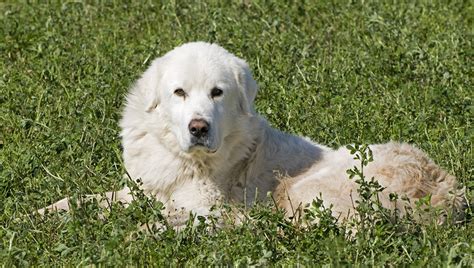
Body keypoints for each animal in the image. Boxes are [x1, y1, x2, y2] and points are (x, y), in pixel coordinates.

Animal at [39, 42, 462, 224]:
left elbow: (176, 210)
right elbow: (85, 199)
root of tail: (447, 190)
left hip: (302, 191)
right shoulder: (142, 188)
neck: (183, 158)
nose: (199, 127)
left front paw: (149, 224)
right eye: (179, 92)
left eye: (217, 93)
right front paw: (42, 215)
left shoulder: (205, 201)